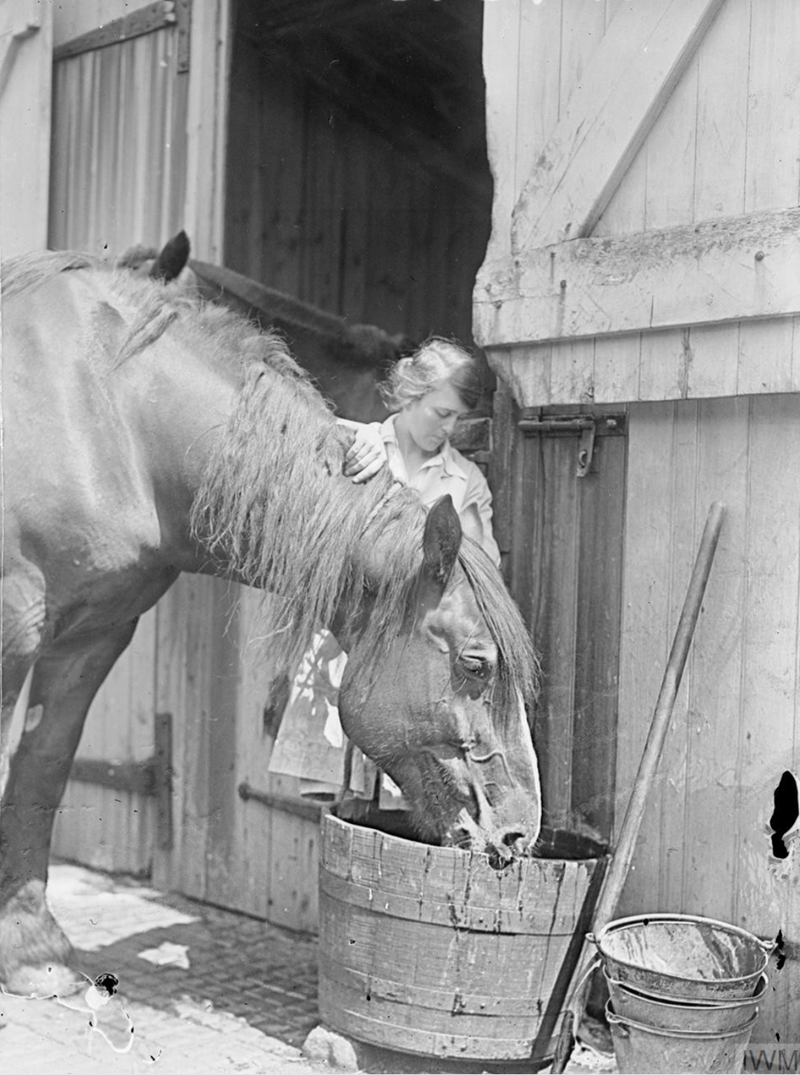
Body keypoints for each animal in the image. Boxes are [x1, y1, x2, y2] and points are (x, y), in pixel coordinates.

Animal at [0, 250, 542, 996]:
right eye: (475, 662)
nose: (521, 833)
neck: (106, 415)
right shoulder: (12, 629)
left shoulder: (92, 636)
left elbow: (41, 769)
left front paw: (30, 948)